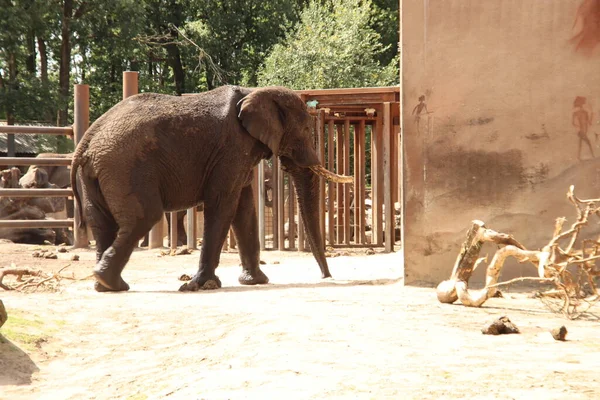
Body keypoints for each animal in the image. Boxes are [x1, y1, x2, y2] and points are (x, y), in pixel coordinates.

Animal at [70, 84, 352, 292]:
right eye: (305, 129)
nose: (327, 276)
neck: (255, 91)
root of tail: (87, 140)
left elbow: (244, 209)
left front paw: (255, 281)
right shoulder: (232, 147)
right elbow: (223, 204)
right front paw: (202, 285)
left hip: (98, 173)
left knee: (102, 222)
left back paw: (106, 286)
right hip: (125, 167)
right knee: (144, 217)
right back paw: (110, 282)